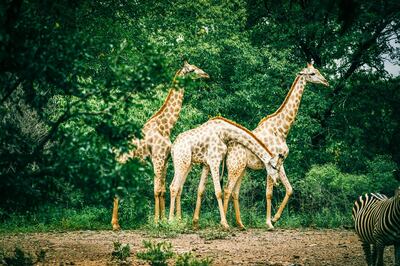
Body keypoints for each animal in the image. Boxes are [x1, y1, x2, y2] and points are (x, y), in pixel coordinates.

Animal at [110, 60, 208, 231]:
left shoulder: (165, 159)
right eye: (193, 70)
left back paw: (115, 222)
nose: (206, 74)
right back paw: (115, 224)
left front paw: (162, 219)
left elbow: (162, 189)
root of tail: (113, 147)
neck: (165, 126)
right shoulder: (157, 157)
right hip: (122, 162)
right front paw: (156, 221)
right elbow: (156, 190)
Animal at [223, 61, 330, 230]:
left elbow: (290, 189)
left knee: (234, 192)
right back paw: (225, 224)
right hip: (235, 166)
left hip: (242, 168)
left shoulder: (281, 163)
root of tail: (229, 148)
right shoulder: (270, 164)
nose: (326, 81)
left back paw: (240, 224)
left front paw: (275, 218)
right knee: (227, 190)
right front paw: (269, 223)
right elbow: (269, 193)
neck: (281, 130)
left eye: (317, 70)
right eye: (312, 73)